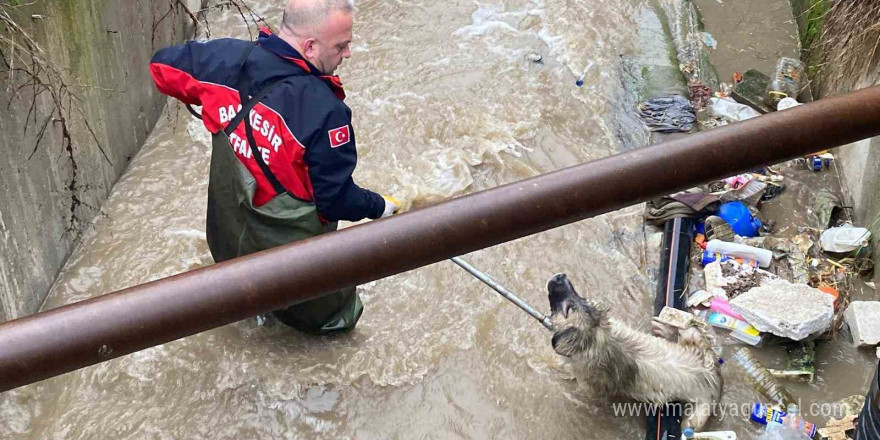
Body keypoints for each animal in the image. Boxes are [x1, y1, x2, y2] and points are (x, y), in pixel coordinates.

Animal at [548, 274, 724, 432]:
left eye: (568, 308)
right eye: (581, 298)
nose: (561, 276)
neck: (599, 339)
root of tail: (712, 375)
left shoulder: (589, 385)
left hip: (701, 407)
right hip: (693, 340)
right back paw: (665, 329)